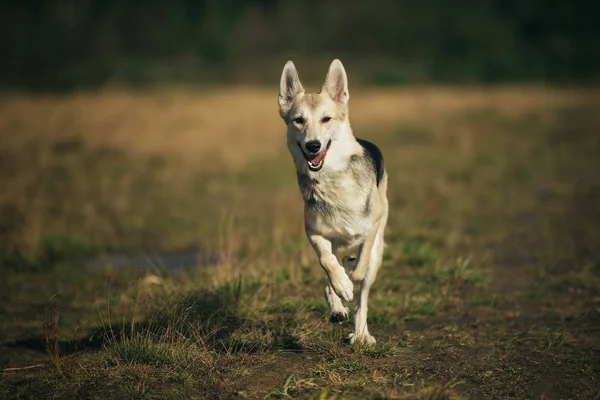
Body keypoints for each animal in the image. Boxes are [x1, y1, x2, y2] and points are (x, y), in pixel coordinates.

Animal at [278, 58, 390, 344]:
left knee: (363, 295)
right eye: (299, 120)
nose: (313, 146)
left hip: (377, 251)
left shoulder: (371, 229)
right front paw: (341, 288)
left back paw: (361, 333)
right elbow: (326, 263)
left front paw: (349, 279)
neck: (332, 178)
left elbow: (358, 271)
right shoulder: (314, 233)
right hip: (334, 241)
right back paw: (338, 305)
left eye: (326, 119)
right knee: (331, 269)